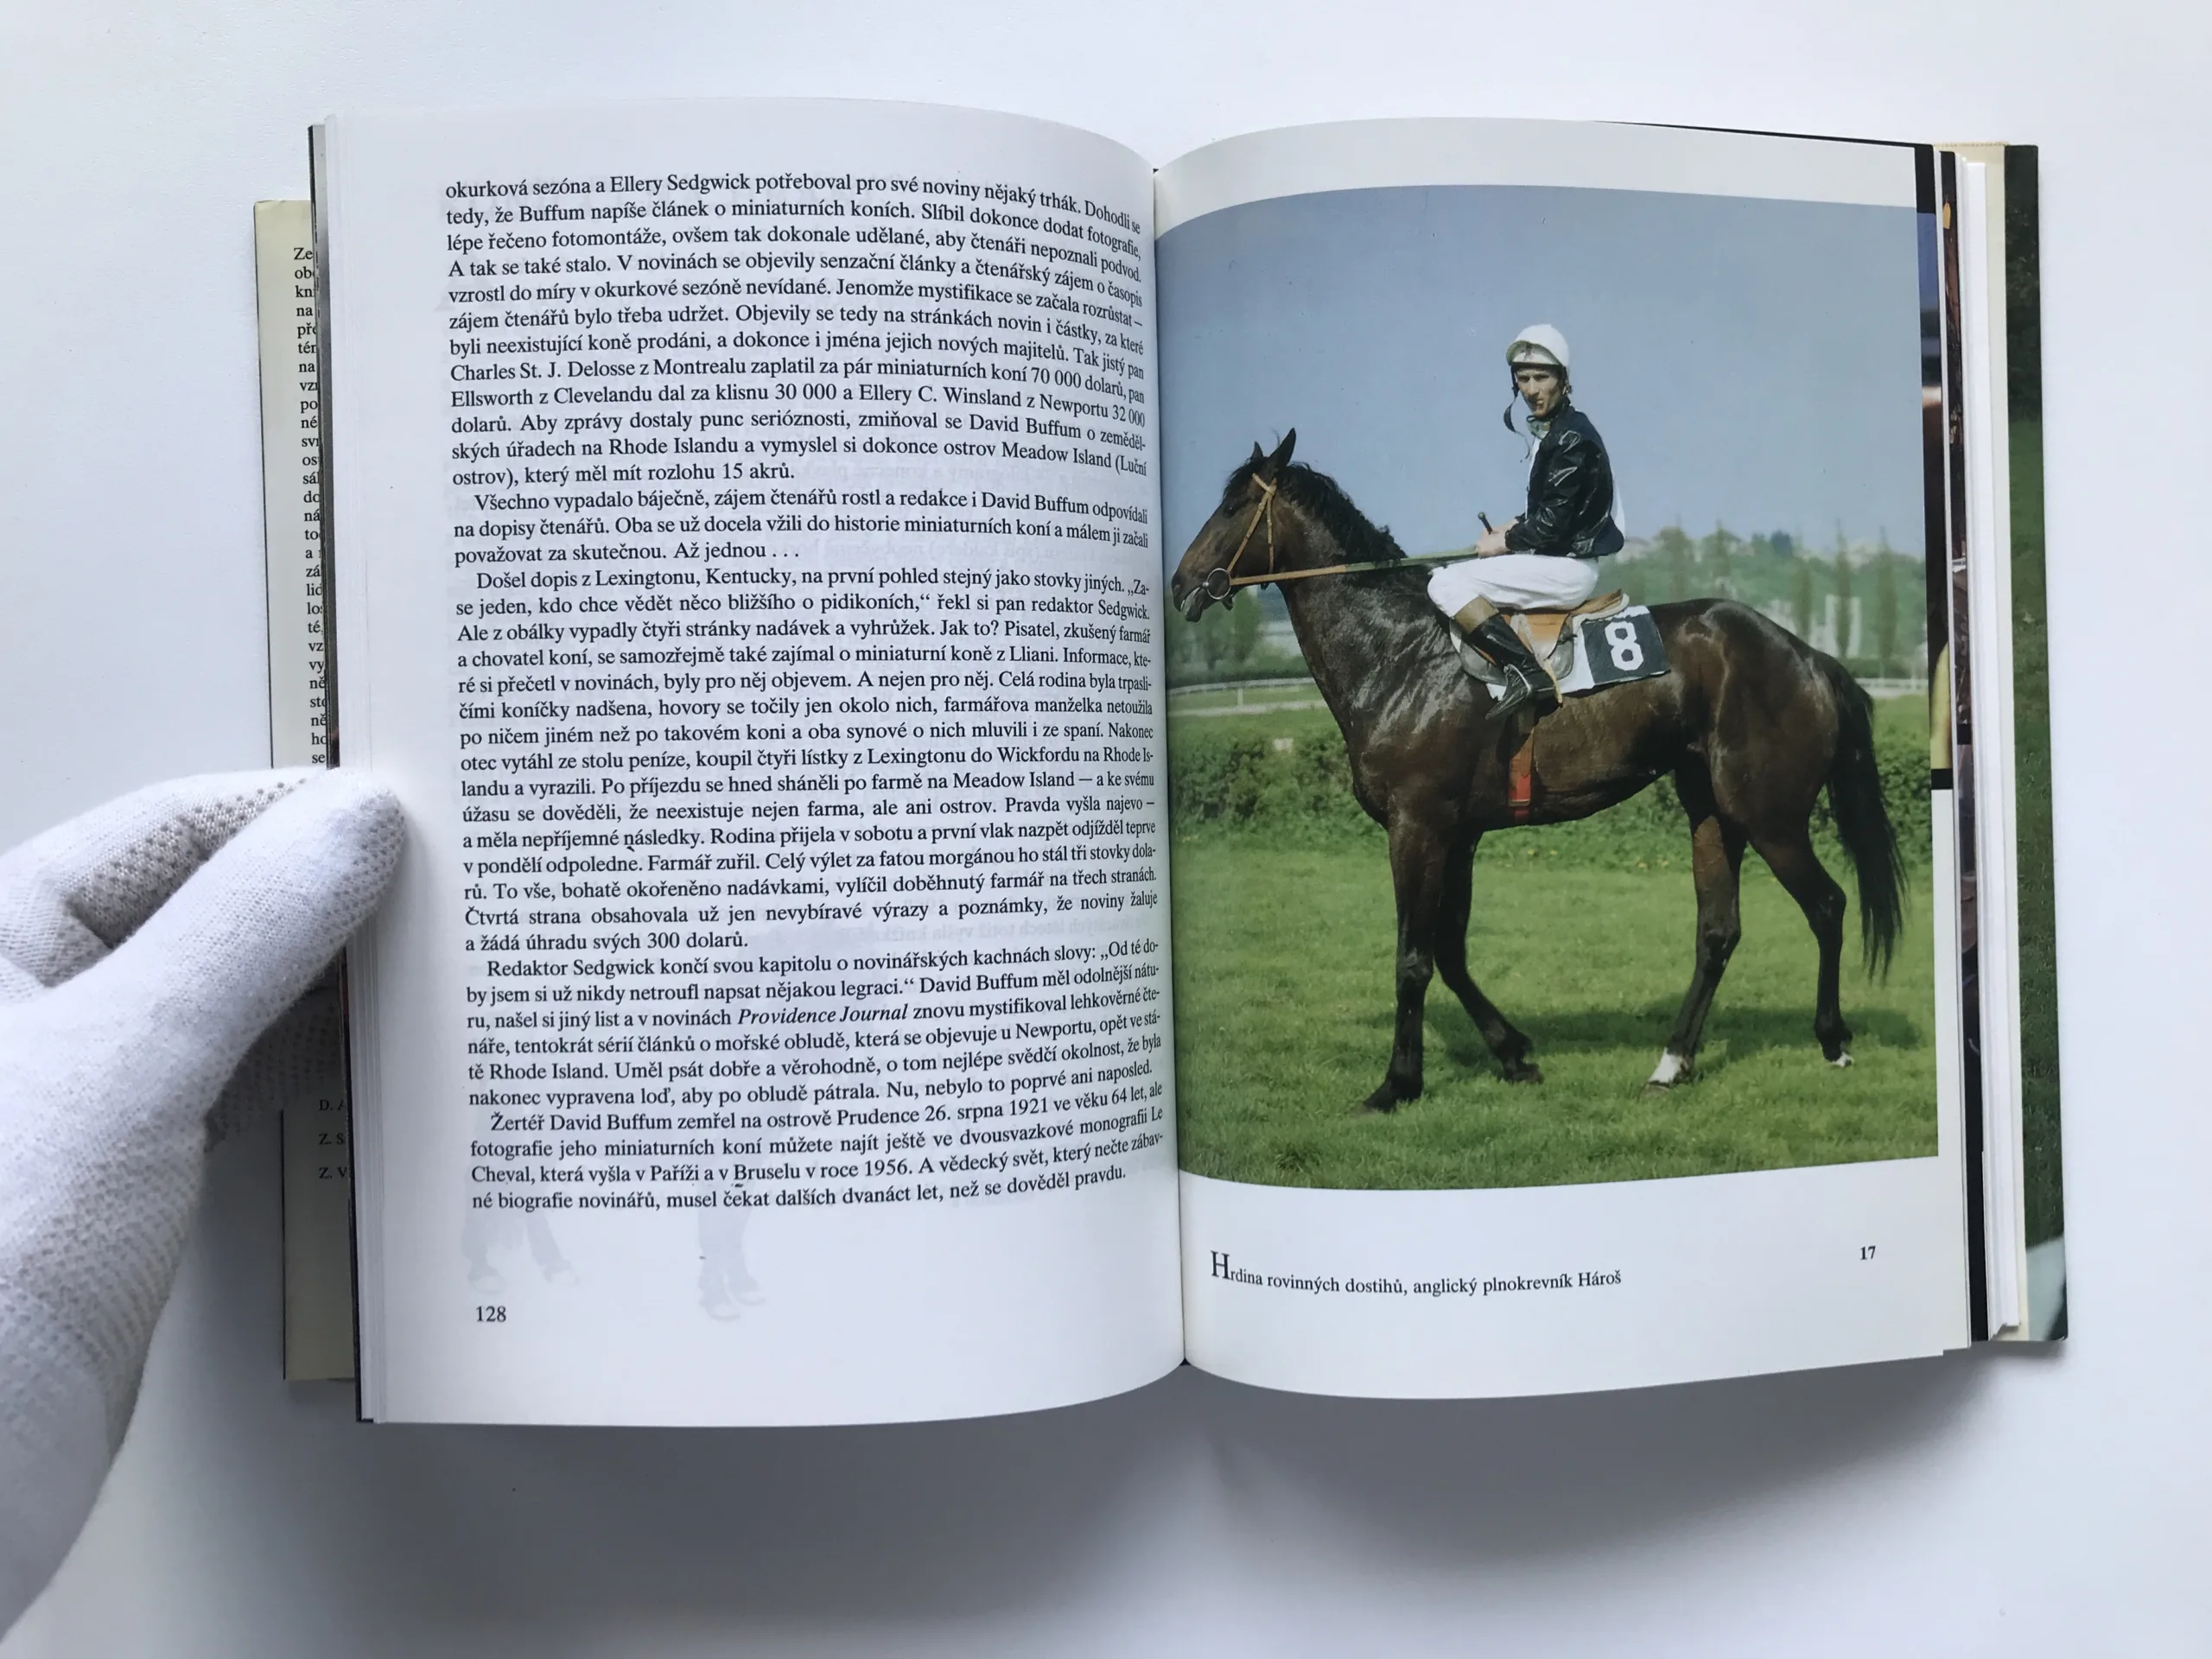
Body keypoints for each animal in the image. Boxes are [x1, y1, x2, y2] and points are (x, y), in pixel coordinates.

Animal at [1169, 431, 1905, 1112]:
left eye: (1232, 506)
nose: (1179, 585)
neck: (1401, 655)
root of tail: (1809, 657)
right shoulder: (1459, 835)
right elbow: (1451, 951)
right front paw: (1513, 1052)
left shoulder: (1416, 827)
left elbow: (1414, 958)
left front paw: (1397, 1084)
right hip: (1711, 812)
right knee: (1719, 931)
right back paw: (1671, 1063)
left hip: (1770, 814)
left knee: (1828, 906)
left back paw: (1833, 1041)